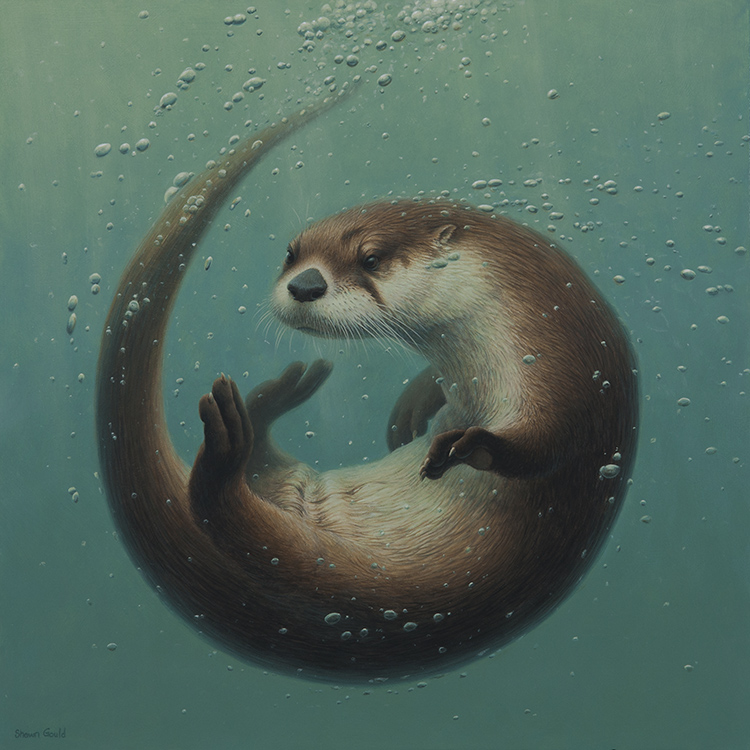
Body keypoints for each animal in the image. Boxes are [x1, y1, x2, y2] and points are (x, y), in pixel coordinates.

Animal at [97, 94, 638, 683]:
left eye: (371, 259)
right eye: (291, 252)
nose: (304, 284)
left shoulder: (571, 367)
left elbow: (550, 439)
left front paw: (468, 445)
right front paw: (416, 409)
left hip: (357, 587)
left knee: (229, 515)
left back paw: (229, 441)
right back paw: (257, 411)